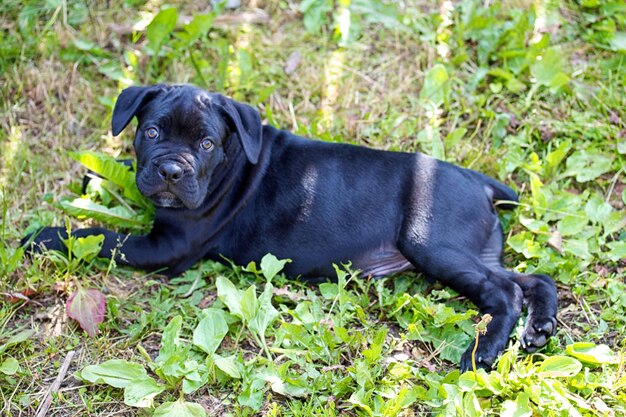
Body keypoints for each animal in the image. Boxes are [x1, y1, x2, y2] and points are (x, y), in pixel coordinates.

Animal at [26, 84, 560, 370]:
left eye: (205, 144)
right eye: (151, 132)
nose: (171, 172)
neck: (234, 160)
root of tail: (479, 182)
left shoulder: (166, 246)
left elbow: (103, 238)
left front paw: (44, 236)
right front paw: (94, 177)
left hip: (433, 243)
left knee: (504, 292)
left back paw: (485, 350)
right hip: (471, 249)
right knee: (534, 279)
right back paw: (539, 328)